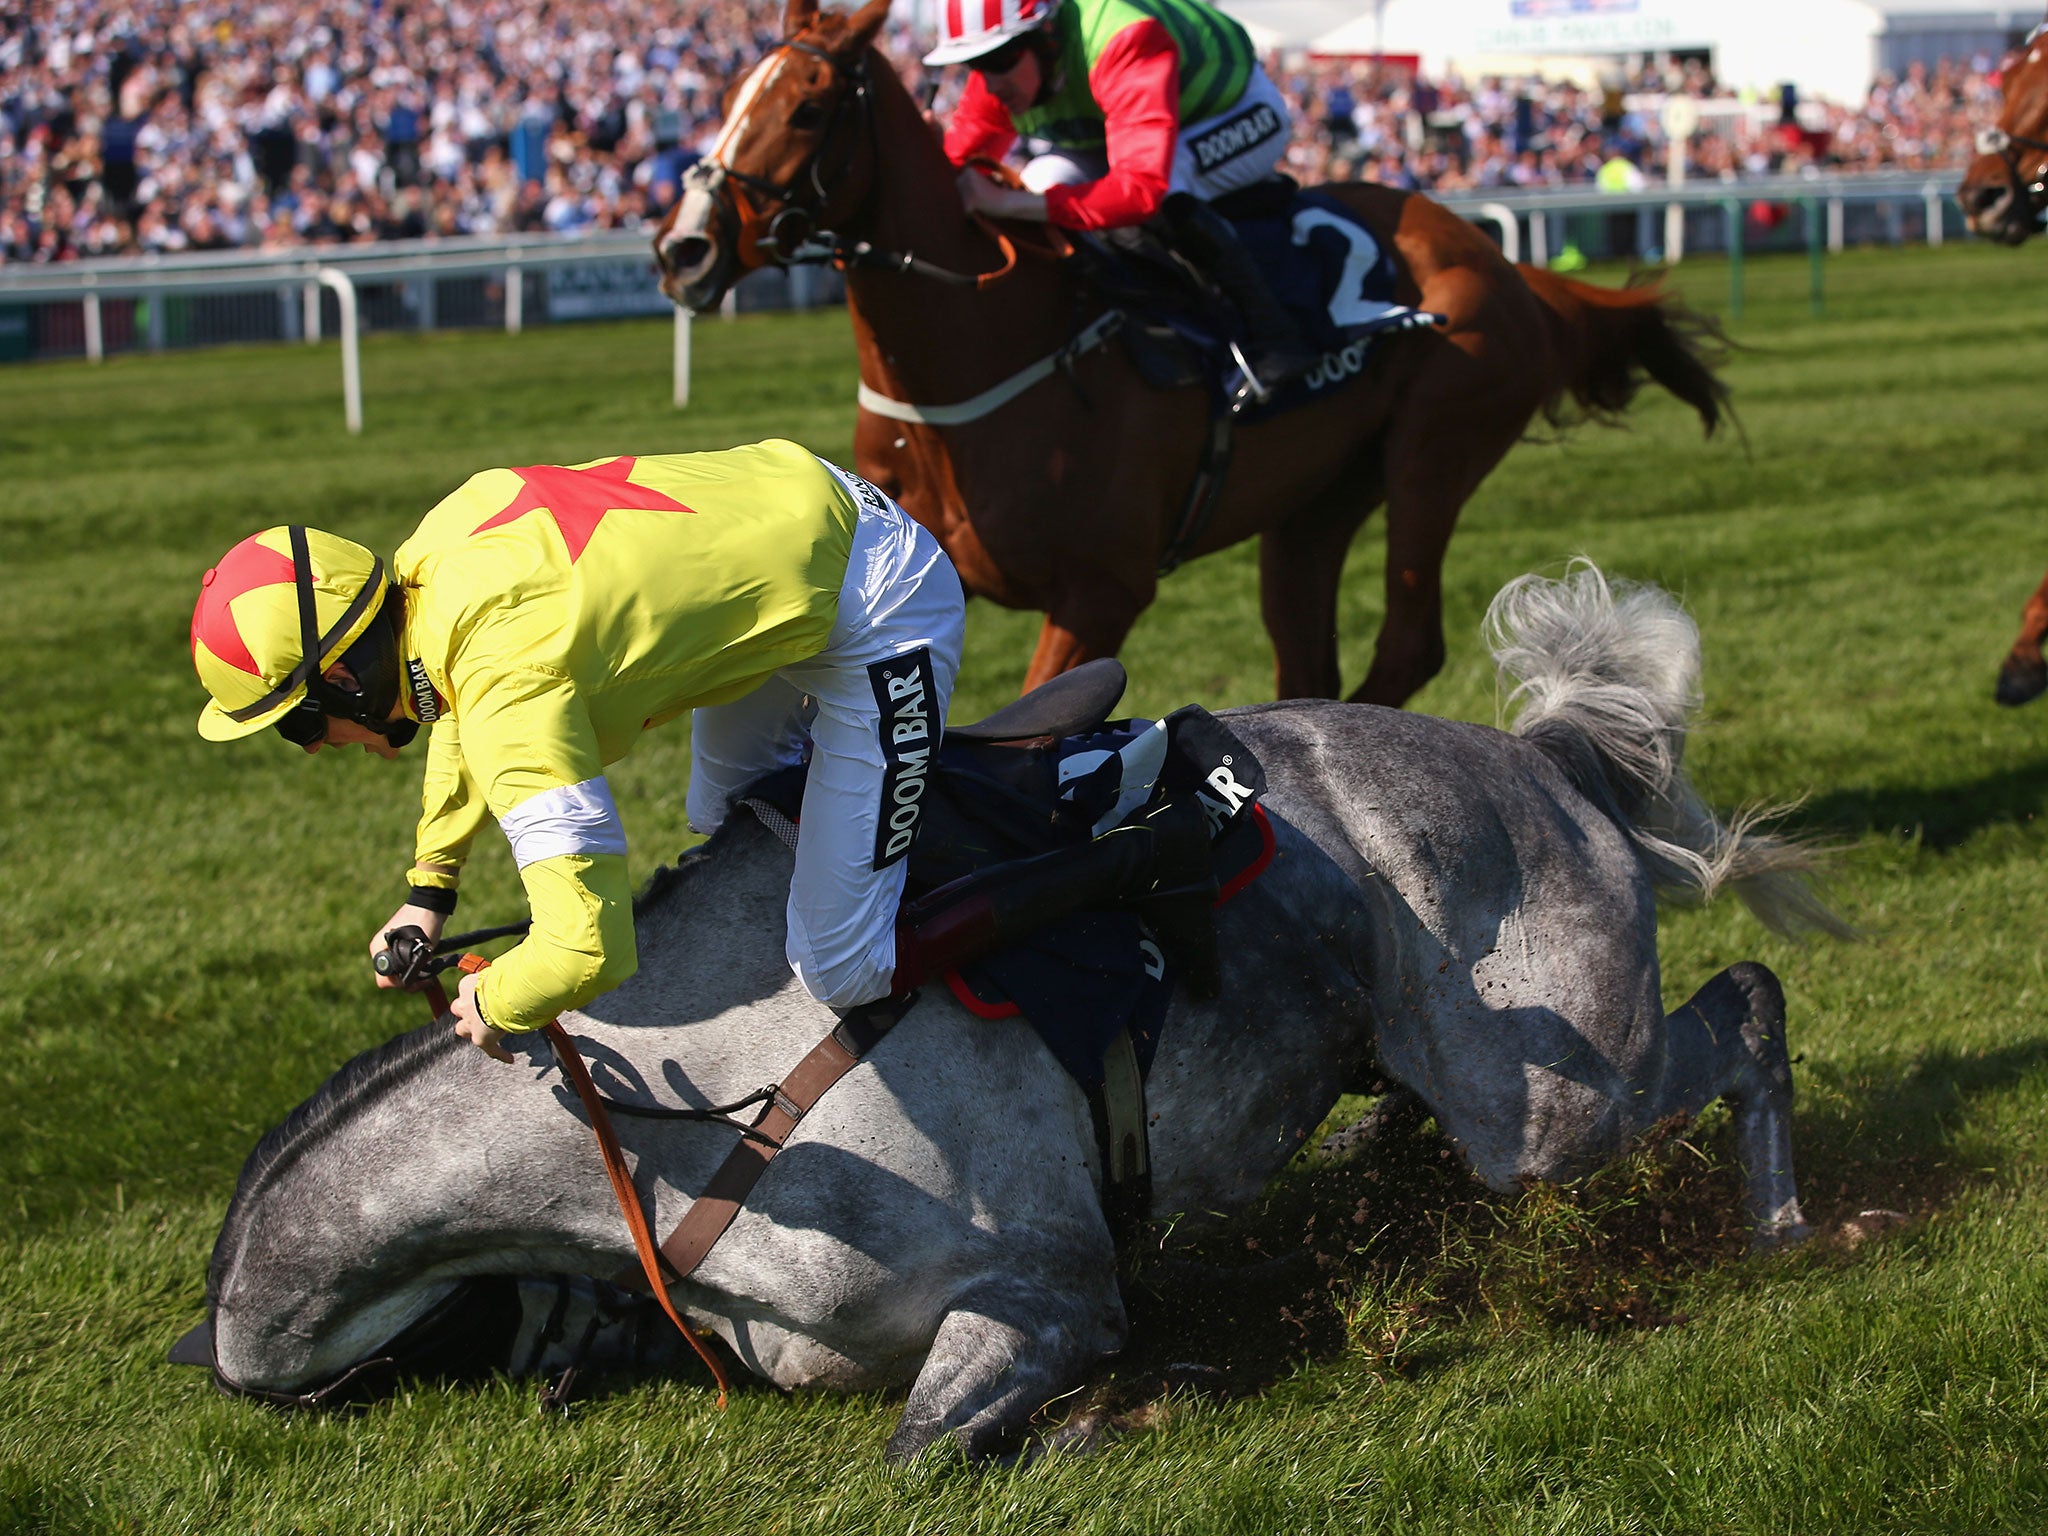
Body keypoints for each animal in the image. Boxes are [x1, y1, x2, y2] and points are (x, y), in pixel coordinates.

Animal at [184, 561, 1843, 1458]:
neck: (684, 1111)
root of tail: (1544, 759)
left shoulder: (1045, 1292)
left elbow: (922, 1451)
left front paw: (1123, 1406)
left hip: (1554, 1104)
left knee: (1745, 1010)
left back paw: (1786, 1226)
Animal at [651, 0, 1728, 708]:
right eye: (730, 91)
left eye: (807, 107)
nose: (683, 249)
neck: (978, 359)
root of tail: (1495, 256)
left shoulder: (1101, 590)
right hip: (1312, 505)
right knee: (1308, 658)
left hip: (1434, 454)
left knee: (1406, 645)